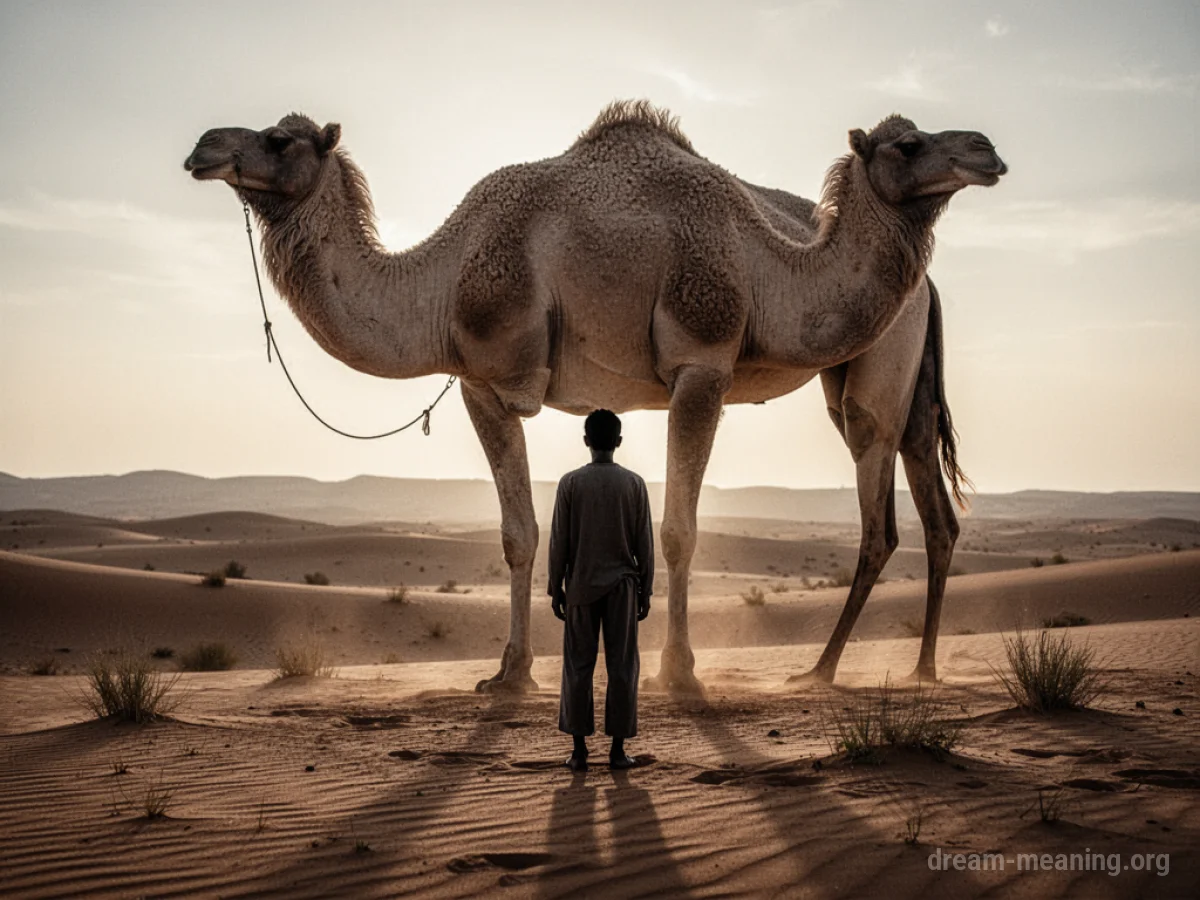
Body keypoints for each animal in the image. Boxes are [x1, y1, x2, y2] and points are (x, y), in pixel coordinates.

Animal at [183, 101, 1005, 693]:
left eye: (277, 140)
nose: (201, 148)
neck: (444, 281)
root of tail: (927, 286)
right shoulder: (483, 385)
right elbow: (520, 535)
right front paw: (510, 675)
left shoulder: (701, 365)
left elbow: (677, 530)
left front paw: (678, 673)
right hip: (891, 385)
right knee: (930, 510)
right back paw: (915, 669)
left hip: (875, 382)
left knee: (878, 515)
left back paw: (826, 671)